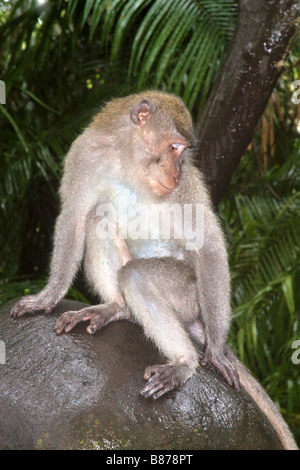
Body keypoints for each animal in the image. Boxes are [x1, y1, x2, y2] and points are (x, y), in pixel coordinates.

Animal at [9, 91, 298, 448]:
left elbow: (209, 247)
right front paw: (47, 297)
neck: (129, 161)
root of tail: (196, 317)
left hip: (190, 294)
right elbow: (75, 218)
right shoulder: (85, 155)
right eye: (174, 147)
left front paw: (217, 350)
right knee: (99, 217)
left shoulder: (187, 188)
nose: (176, 172)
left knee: (137, 275)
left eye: (184, 152)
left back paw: (184, 362)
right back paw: (116, 307)